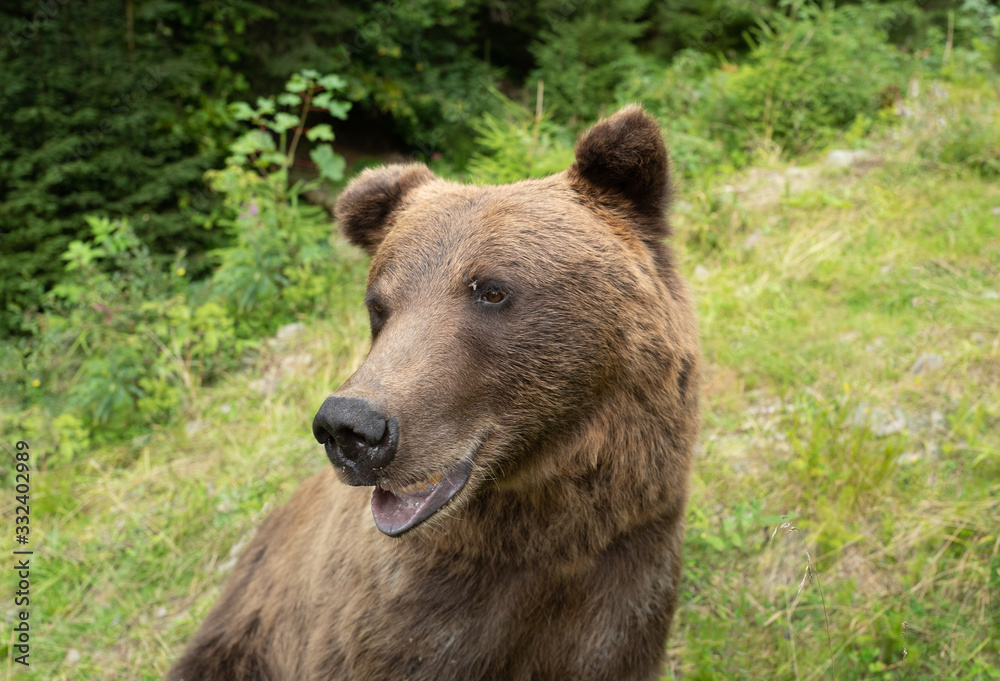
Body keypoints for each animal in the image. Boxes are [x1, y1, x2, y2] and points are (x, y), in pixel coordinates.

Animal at [168, 105, 700, 680]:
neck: (543, 526)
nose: (350, 428)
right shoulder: (411, 617)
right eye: (379, 306)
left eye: (492, 290)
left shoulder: (622, 573)